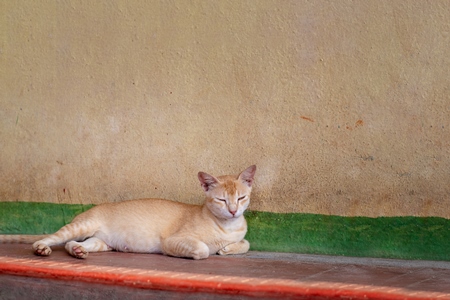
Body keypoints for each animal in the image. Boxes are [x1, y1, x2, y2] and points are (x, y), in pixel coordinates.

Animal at [0, 165, 256, 258]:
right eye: (221, 200)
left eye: (241, 198)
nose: (233, 211)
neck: (227, 226)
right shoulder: (173, 240)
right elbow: (202, 250)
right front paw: (208, 251)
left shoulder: (240, 235)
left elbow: (246, 243)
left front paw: (227, 249)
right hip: (82, 226)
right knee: (52, 238)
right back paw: (42, 248)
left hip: (101, 242)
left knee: (76, 244)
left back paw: (78, 251)